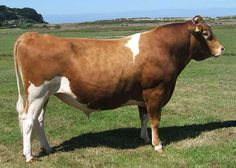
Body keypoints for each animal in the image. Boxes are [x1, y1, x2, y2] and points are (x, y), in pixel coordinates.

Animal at [13, 15, 224, 161]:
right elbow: (155, 120)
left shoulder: (142, 95)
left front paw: (144, 138)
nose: (221, 48)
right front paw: (157, 145)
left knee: (39, 120)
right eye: (206, 34)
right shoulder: (156, 91)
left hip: (46, 95)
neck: (165, 48)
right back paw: (29, 156)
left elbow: (144, 117)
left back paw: (47, 148)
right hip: (37, 92)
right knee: (28, 120)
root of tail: (32, 35)